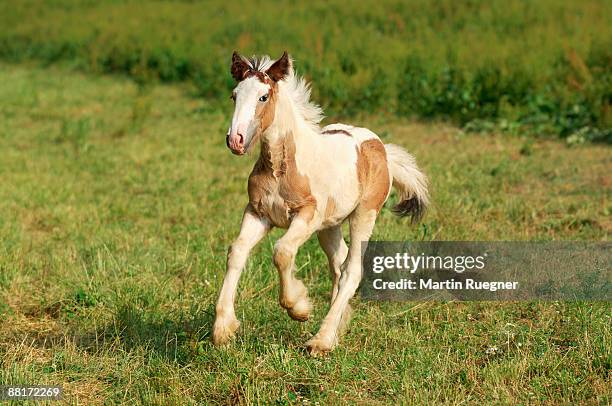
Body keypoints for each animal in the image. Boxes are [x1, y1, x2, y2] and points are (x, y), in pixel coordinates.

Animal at [213, 51, 428, 356]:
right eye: (234, 95)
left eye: (263, 97)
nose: (236, 140)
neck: (280, 167)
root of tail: (381, 149)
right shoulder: (257, 213)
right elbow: (237, 251)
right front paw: (223, 329)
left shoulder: (307, 215)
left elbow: (282, 252)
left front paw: (299, 307)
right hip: (330, 225)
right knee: (339, 264)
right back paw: (336, 329)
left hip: (364, 215)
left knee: (352, 270)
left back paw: (321, 341)